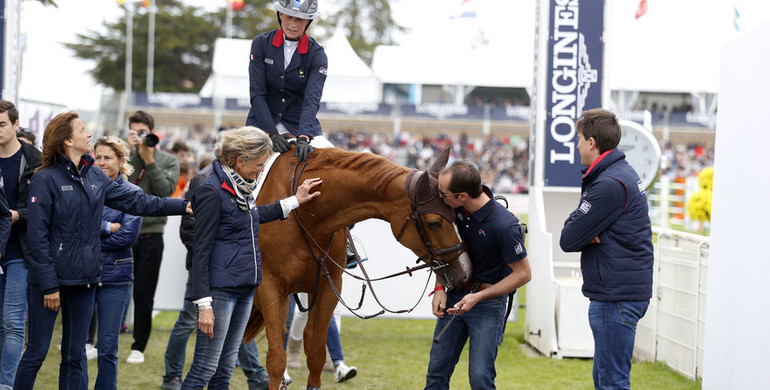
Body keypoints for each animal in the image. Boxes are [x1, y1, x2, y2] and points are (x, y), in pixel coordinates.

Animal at [246, 148, 472, 388]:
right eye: (434, 223)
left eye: (457, 214)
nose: (465, 272)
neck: (308, 216)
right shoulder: (271, 288)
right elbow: (276, 357)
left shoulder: (328, 287)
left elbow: (316, 352)